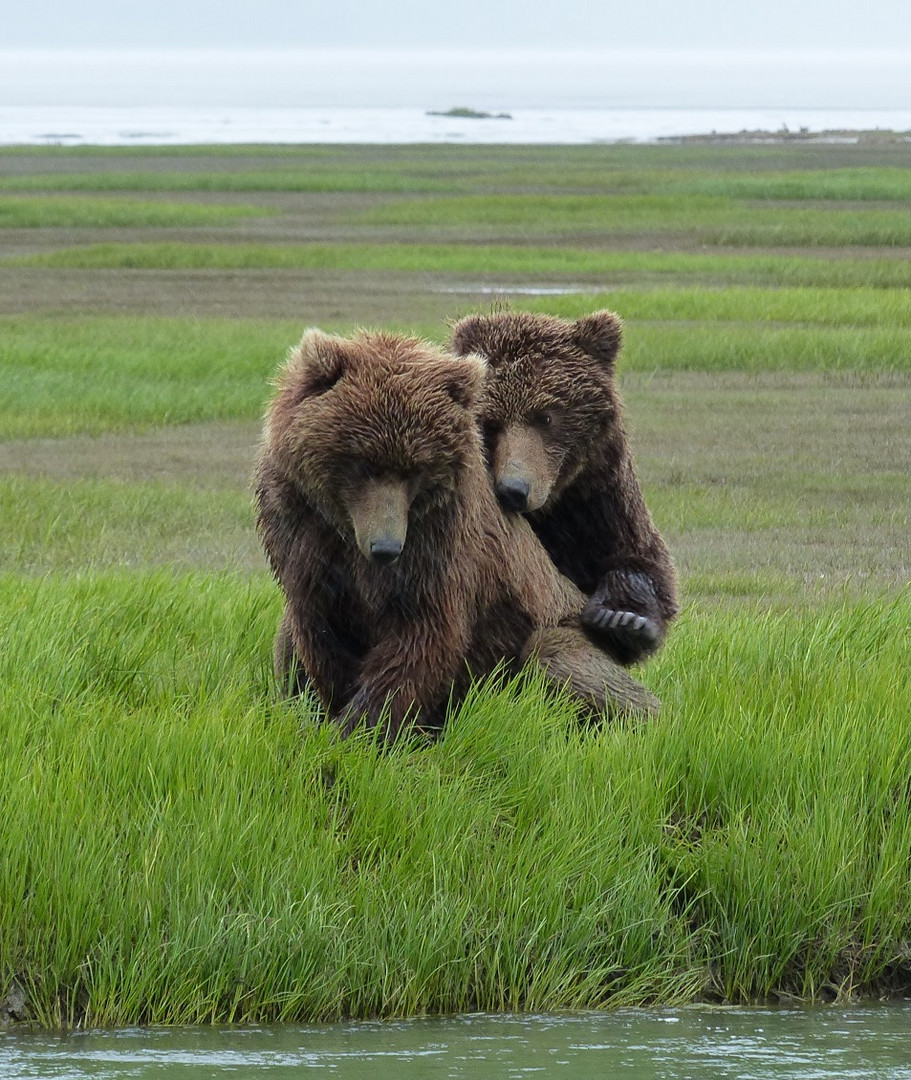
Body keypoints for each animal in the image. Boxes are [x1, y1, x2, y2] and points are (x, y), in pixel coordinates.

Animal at [252, 324, 656, 738]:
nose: (386, 547)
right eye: (362, 463)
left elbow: (423, 635)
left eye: (416, 468)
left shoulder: (440, 542)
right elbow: (321, 631)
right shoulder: (305, 536)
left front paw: (363, 727)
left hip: (560, 628)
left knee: (557, 658)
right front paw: (333, 717)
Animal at [449, 308, 677, 665]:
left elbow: (642, 558)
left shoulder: (599, 499)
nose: (514, 490)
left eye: (546, 416)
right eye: (491, 422)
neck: (552, 510)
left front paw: (623, 617)